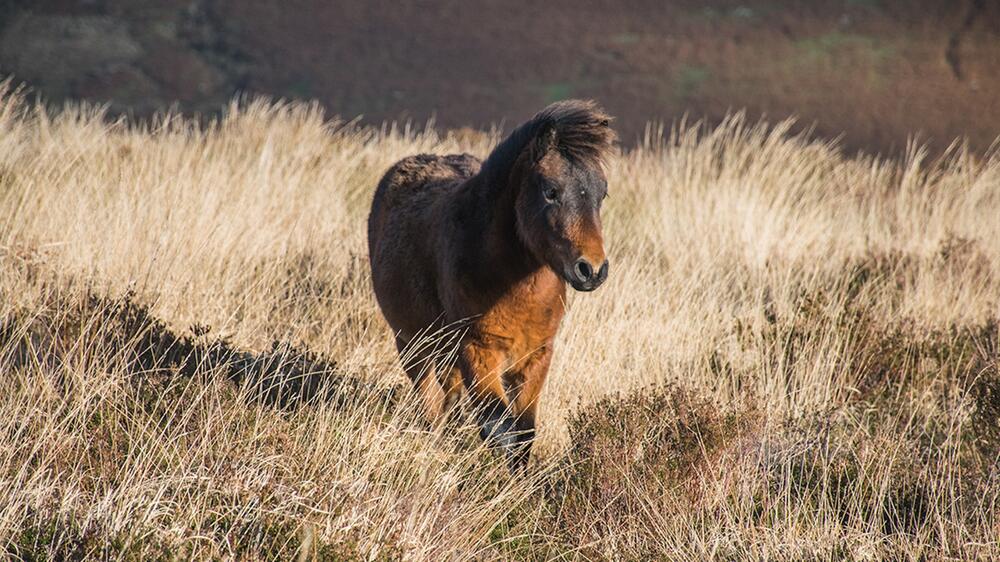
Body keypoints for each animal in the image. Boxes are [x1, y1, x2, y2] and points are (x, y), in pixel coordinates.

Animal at [370, 100, 616, 468]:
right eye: (551, 191)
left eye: (602, 194)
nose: (592, 269)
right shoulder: (478, 349)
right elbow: (499, 429)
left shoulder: (536, 355)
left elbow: (524, 432)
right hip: (412, 344)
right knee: (430, 405)